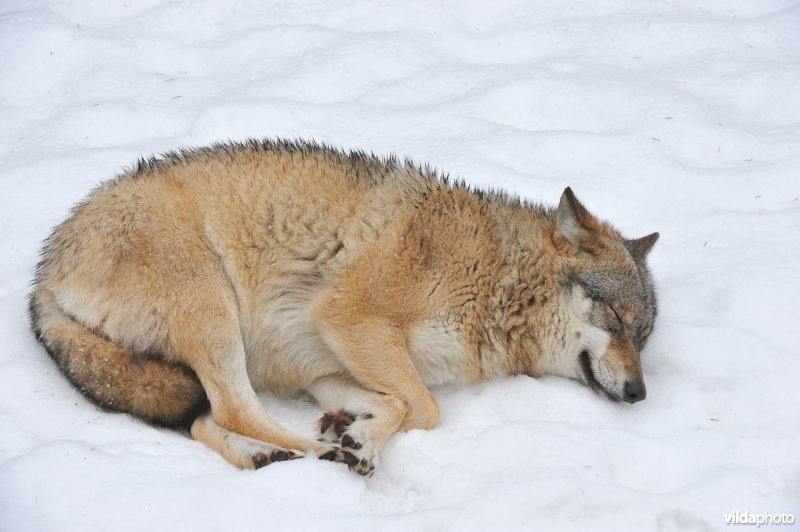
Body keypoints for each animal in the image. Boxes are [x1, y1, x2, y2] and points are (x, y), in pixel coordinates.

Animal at [29, 139, 658, 475]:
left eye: (644, 338)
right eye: (617, 321)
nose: (639, 394)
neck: (498, 277)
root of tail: (43, 270)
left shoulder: (322, 365)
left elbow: (404, 406)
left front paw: (358, 427)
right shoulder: (347, 317)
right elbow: (427, 409)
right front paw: (355, 440)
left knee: (207, 417)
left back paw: (273, 456)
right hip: (212, 308)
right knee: (232, 409)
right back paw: (317, 452)